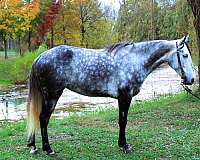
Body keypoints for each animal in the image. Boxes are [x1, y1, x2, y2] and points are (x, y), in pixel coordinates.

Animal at [26, 35, 195, 155]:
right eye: (185, 55)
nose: (192, 79)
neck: (134, 60)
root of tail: (39, 58)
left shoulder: (123, 98)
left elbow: (122, 121)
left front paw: (122, 144)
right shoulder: (125, 97)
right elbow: (123, 121)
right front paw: (124, 146)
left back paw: (33, 146)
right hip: (51, 96)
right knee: (43, 119)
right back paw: (48, 149)